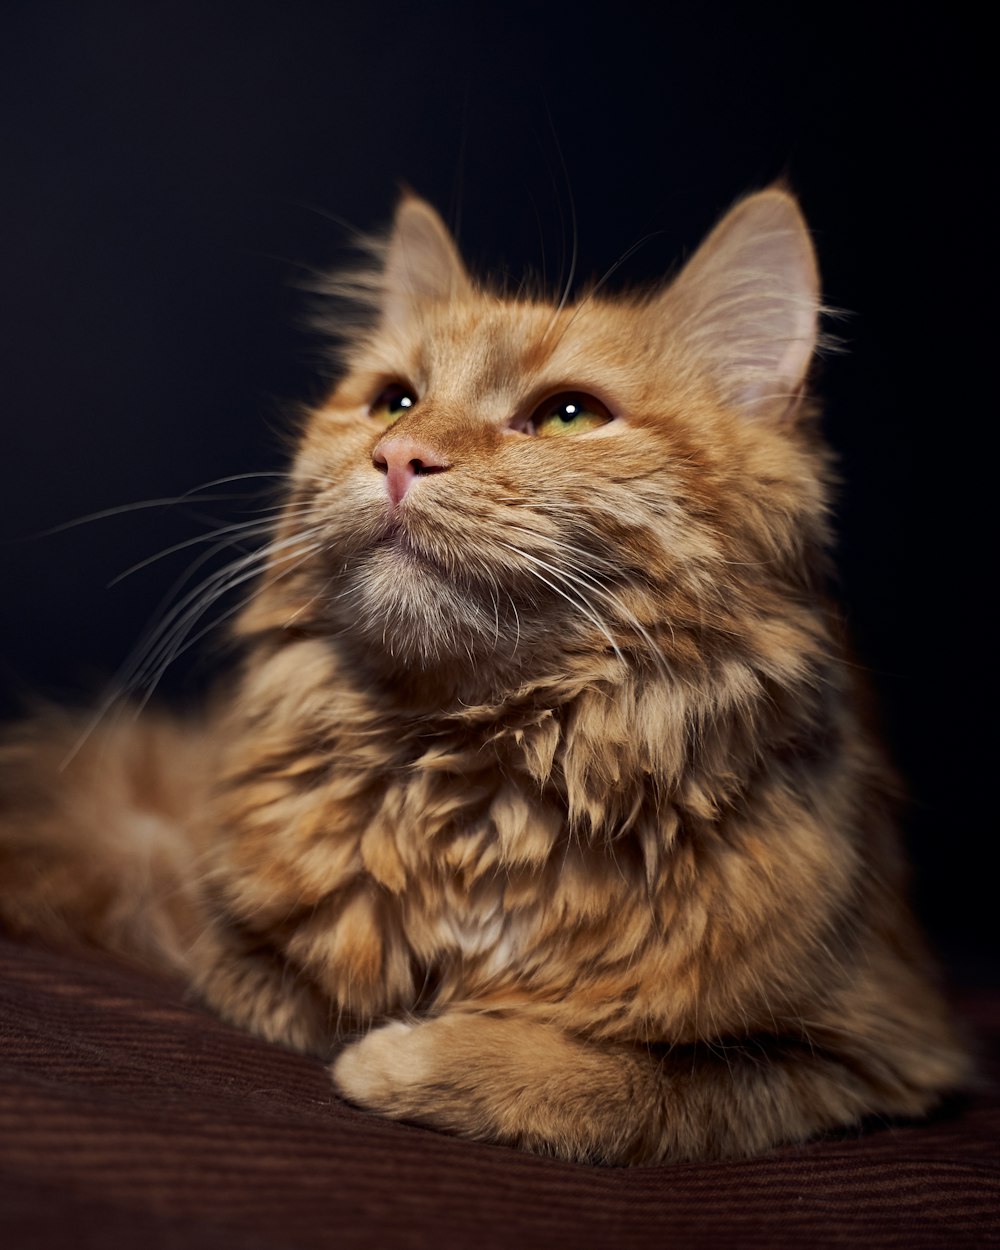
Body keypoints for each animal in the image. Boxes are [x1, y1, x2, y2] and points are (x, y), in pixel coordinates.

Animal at [0, 185, 970, 1160]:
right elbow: (289, 991)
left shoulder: (874, 1050)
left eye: (570, 416)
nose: (398, 456)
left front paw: (411, 1057)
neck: (477, 778)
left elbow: (627, 1081)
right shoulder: (213, 929)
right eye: (393, 401)